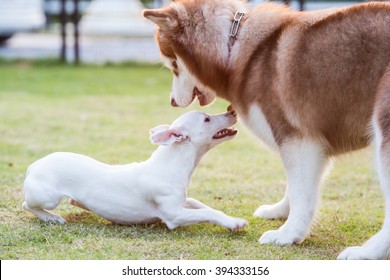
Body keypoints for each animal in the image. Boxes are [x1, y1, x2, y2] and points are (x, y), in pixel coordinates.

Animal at [22, 110, 247, 231]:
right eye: (206, 119)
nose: (232, 111)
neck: (173, 162)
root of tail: (34, 165)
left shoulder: (183, 203)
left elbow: (203, 206)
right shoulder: (174, 216)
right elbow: (207, 213)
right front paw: (234, 223)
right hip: (48, 197)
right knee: (27, 205)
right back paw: (52, 218)